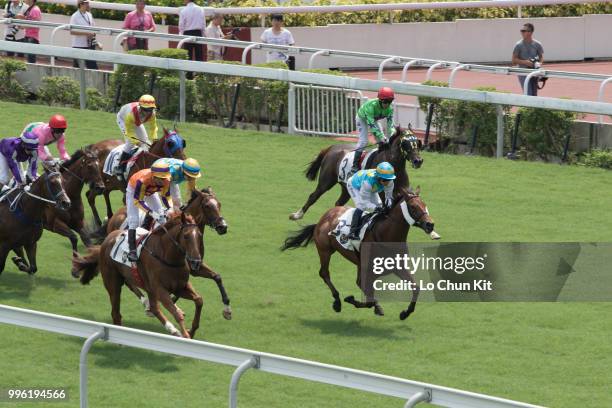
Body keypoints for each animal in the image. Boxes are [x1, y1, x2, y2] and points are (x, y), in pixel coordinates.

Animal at [72, 212, 206, 340]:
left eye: (199, 235)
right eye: (186, 236)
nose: (196, 262)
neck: (167, 256)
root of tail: (107, 239)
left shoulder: (179, 287)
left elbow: (199, 300)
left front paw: (192, 330)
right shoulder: (160, 289)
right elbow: (175, 313)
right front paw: (186, 336)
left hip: (144, 286)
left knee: (153, 307)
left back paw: (172, 329)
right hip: (113, 283)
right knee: (116, 312)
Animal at [101, 187, 233, 318]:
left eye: (219, 204)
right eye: (207, 206)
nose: (223, 227)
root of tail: (114, 216)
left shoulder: (195, 265)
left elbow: (217, 276)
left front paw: (227, 309)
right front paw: (172, 304)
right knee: (129, 282)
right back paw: (147, 304)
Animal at [284, 186, 436, 320]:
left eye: (424, 205)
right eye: (413, 207)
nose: (430, 224)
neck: (386, 235)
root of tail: (324, 217)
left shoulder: (397, 267)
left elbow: (416, 288)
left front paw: (405, 313)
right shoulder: (368, 269)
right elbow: (368, 298)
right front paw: (351, 299)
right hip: (325, 250)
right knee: (324, 273)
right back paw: (337, 301)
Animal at [290, 127, 424, 223]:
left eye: (417, 142)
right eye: (405, 143)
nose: (418, 161)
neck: (392, 167)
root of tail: (331, 148)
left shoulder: (403, 191)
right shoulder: (381, 194)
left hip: (345, 187)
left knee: (338, 203)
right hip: (326, 181)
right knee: (313, 196)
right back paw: (297, 215)